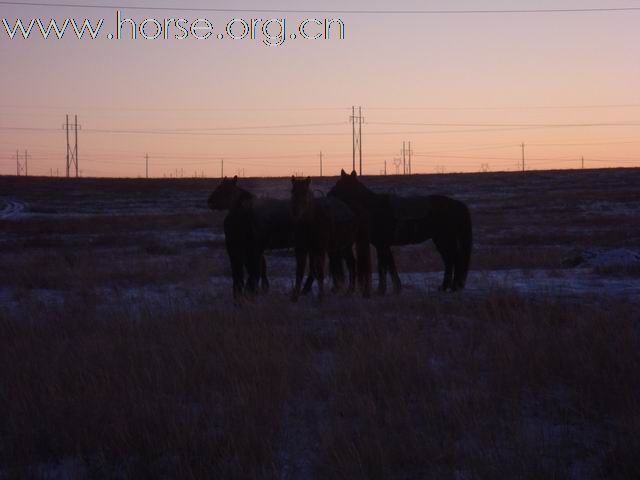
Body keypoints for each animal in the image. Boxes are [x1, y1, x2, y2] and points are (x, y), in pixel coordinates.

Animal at [328, 171, 472, 294]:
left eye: (342, 184)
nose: (329, 195)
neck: (374, 208)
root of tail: (457, 204)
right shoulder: (384, 246)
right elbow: (390, 265)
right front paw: (396, 288)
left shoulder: (382, 245)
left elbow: (382, 267)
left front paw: (381, 290)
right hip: (441, 240)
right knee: (450, 260)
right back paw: (447, 287)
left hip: (444, 239)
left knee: (452, 259)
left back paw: (452, 287)